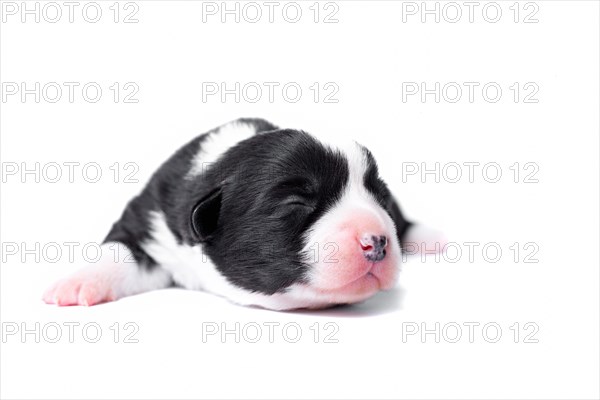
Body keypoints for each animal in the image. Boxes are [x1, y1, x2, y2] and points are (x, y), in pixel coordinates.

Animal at [42, 117, 438, 310]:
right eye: (296, 203)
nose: (378, 241)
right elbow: (120, 249)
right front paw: (76, 283)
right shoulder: (151, 217)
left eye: (380, 198)